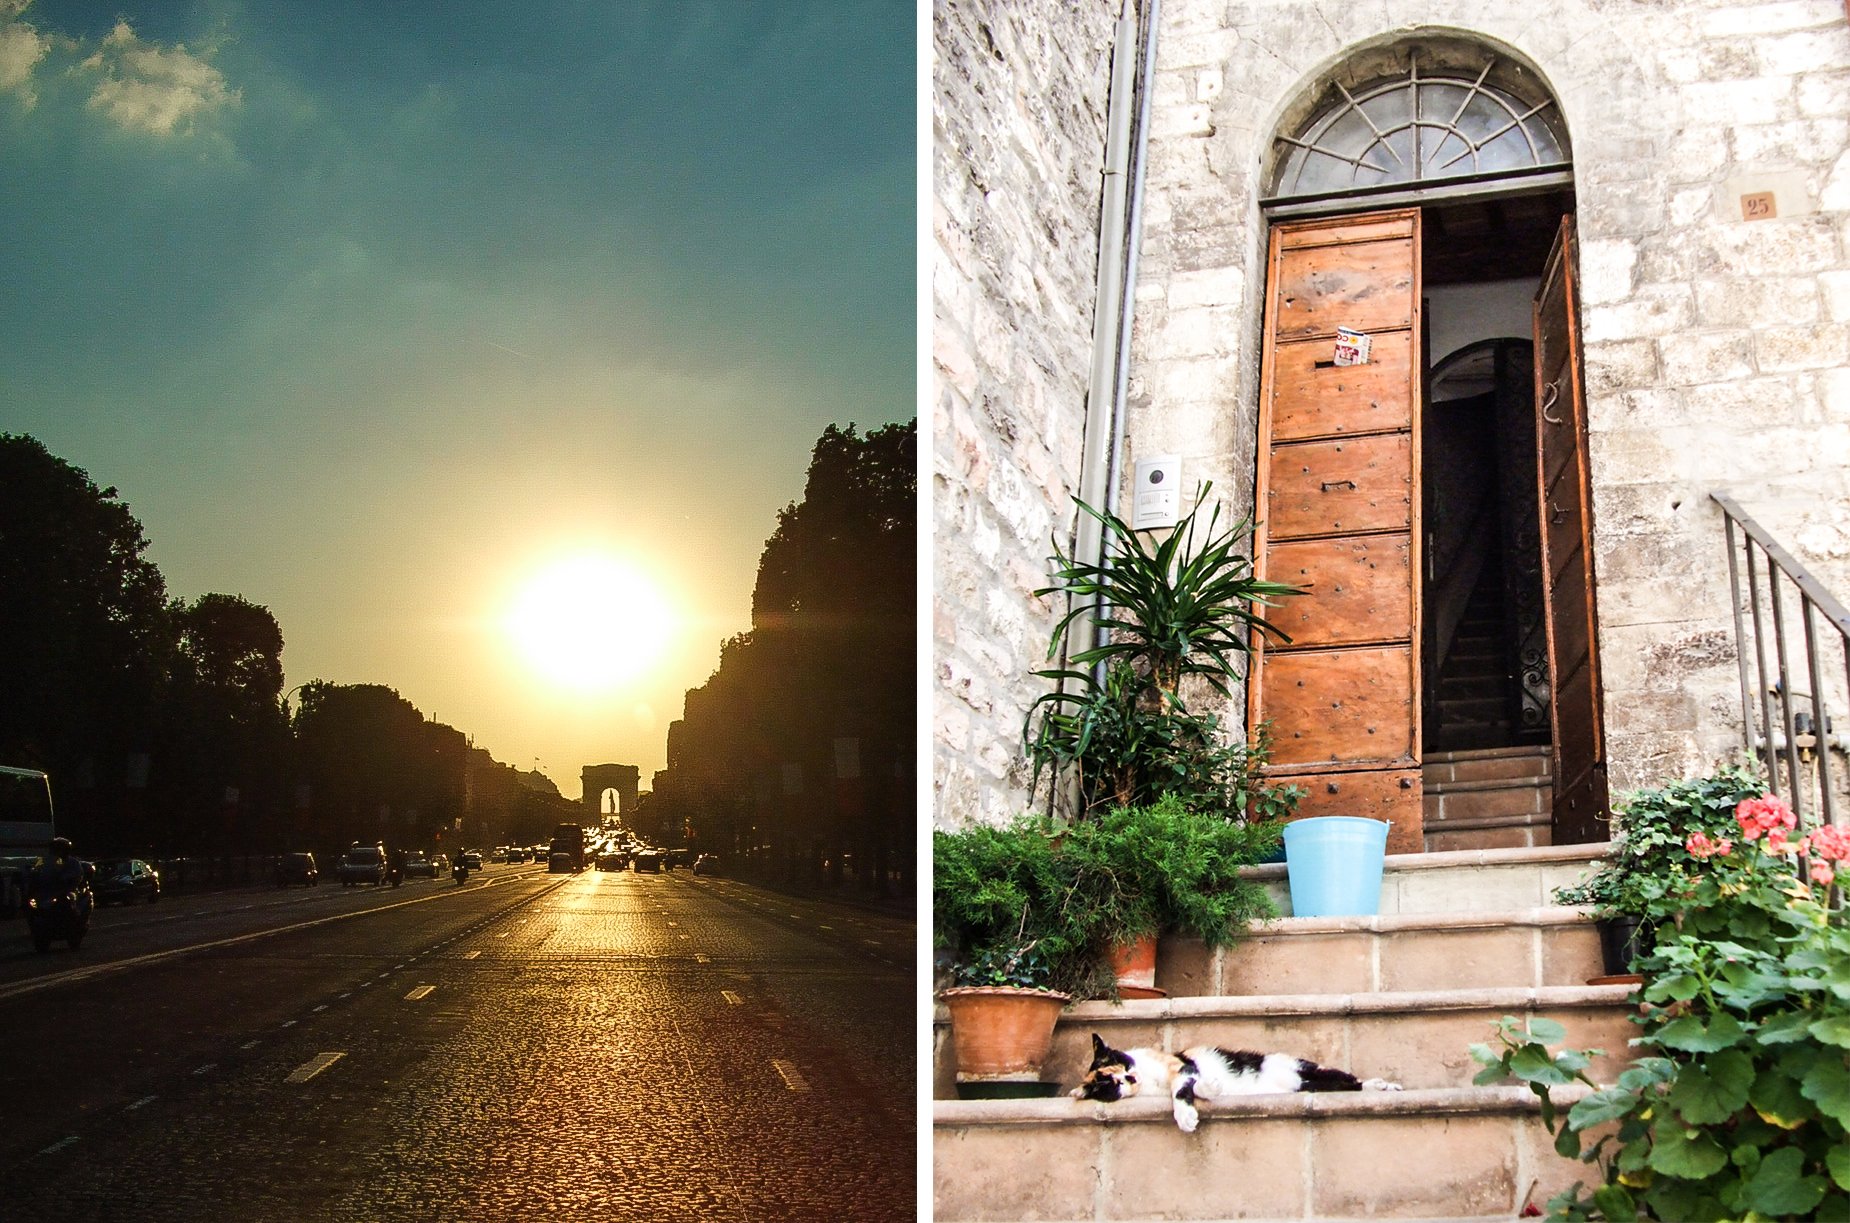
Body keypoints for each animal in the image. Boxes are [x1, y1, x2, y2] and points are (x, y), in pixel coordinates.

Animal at [1073, 1028, 1398, 1124]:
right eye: (1110, 1084)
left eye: (1121, 1064)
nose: (1129, 1078)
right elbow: (1191, 1087)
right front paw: (1210, 1089)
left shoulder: (1180, 1066)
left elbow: (1182, 1086)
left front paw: (1187, 1116)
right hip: (1310, 1085)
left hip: (1304, 1068)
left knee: (1352, 1080)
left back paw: (1383, 1086)